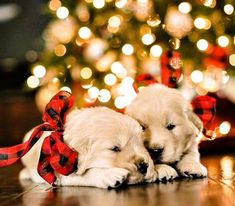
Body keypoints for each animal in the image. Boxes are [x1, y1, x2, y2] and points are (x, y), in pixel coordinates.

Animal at [19, 108, 156, 188]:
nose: (144, 166)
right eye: (115, 149)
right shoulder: (62, 170)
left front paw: (157, 170)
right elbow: (87, 173)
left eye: (142, 144)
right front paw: (109, 174)